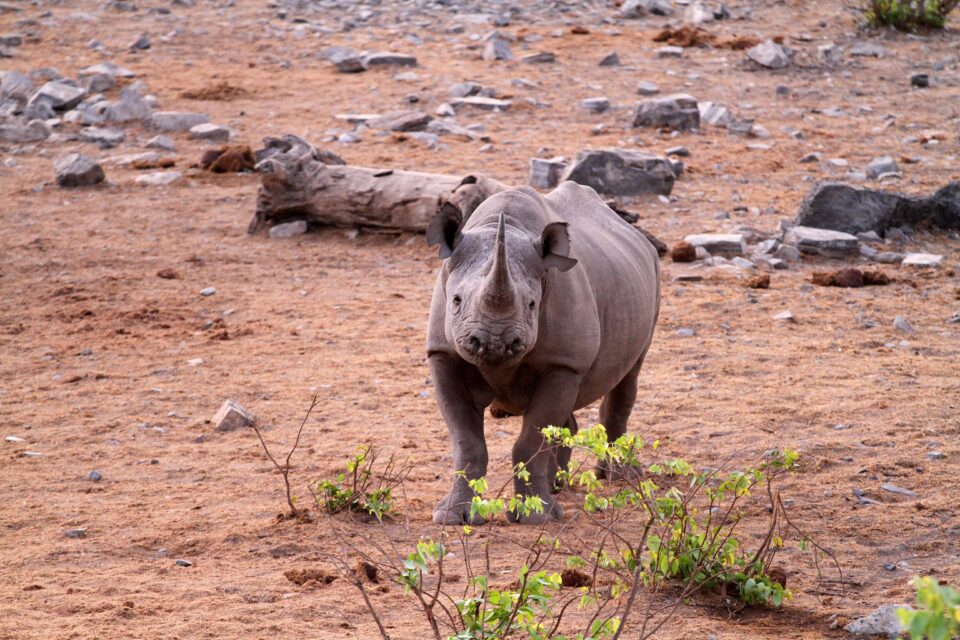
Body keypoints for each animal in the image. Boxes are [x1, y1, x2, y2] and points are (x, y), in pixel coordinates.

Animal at [426, 181, 661, 525]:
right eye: (455, 300)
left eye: (532, 305)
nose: (493, 342)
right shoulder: (443, 354)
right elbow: (467, 442)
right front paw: (453, 517)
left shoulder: (562, 363)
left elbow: (531, 439)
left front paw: (536, 517)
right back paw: (557, 485)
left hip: (654, 278)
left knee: (628, 377)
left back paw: (620, 477)